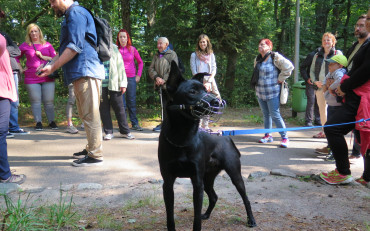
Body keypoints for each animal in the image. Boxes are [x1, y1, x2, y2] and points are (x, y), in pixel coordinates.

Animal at [158, 60, 256, 230]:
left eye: (206, 89)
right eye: (192, 91)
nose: (217, 102)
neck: (182, 138)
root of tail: (226, 138)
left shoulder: (197, 183)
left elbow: (196, 218)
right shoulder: (168, 183)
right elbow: (170, 216)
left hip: (234, 175)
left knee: (246, 198)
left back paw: (251, 219)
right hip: (208, 178)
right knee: (214, 197)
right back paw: (207, 214)